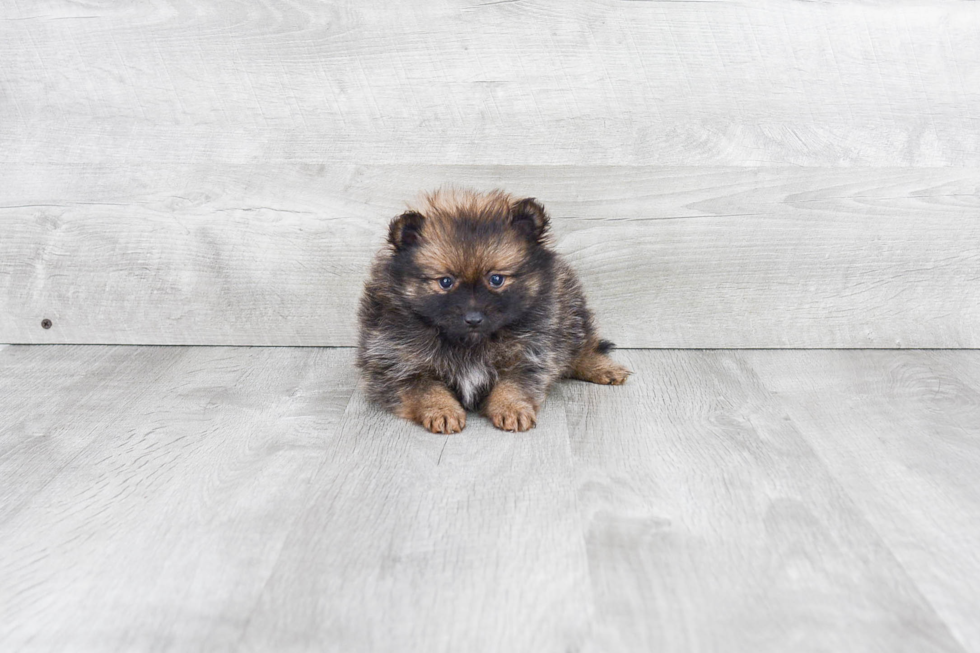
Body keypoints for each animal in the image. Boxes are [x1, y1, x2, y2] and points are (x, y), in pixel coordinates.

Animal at [358, 187, 628, 432]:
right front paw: (442, 410)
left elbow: (513, 385)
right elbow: (427, 389)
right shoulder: (397, 365)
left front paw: (511, 408)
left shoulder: (529, 354)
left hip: (568, 310)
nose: (473, 319)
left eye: (496, 279)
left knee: (582, 347)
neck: (470, 343)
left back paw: (603, 367)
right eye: (445, 282)